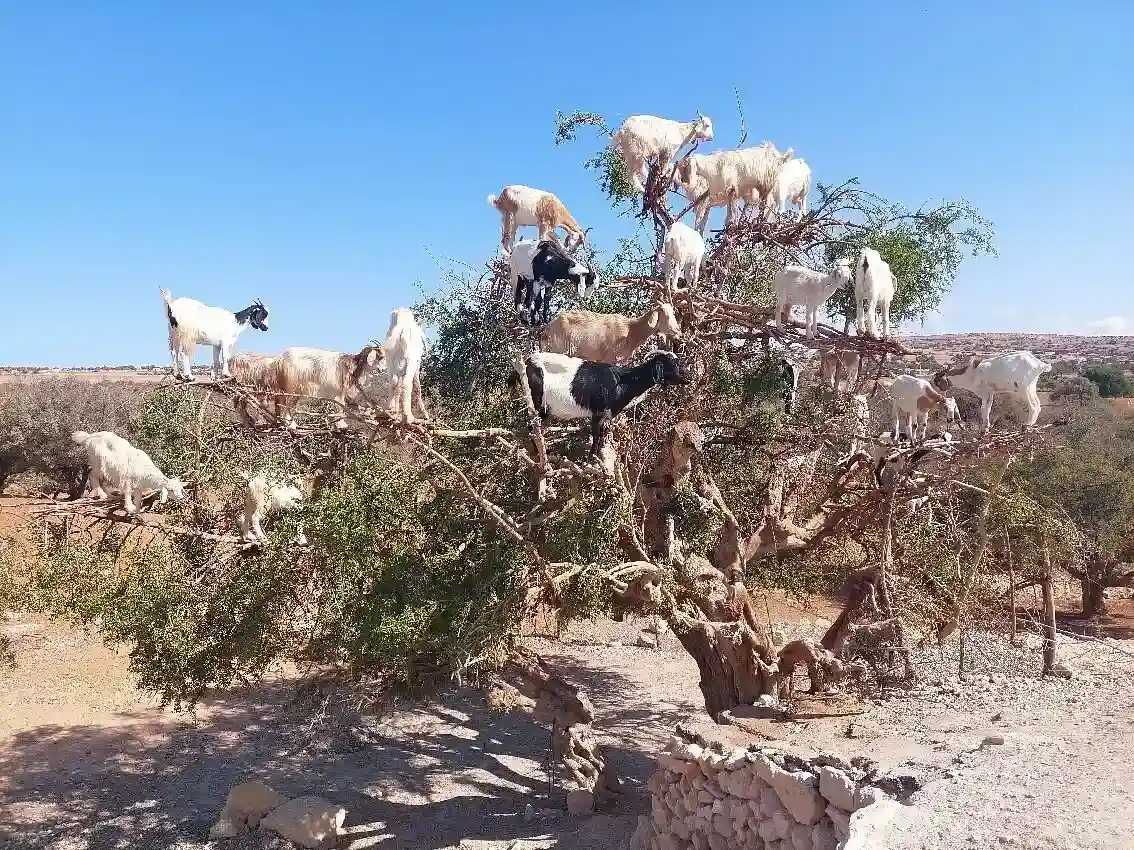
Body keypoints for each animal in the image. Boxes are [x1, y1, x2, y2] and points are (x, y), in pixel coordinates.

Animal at [512, 349, 689, 460]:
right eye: (672, 364)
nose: (690, 377)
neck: (621, 381)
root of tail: (527, 362)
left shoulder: (606, 416)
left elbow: (603, 435)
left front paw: (600, 455)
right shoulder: (598, 413)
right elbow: (596, 435)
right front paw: (591, 458)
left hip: (546, 410)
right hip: (537, 402)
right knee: (532, 427)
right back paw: (539, 454)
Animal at [539, 301, 680, 364]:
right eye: (666, 316)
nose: (678, 331)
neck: (631, 330)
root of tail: (549, 326)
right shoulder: (609, 358)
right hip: (559, 350)